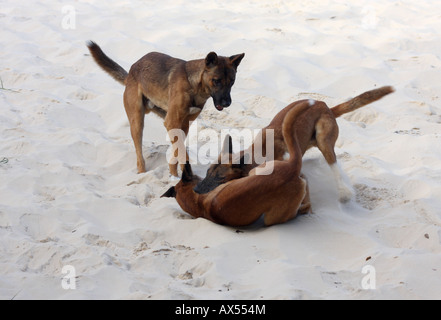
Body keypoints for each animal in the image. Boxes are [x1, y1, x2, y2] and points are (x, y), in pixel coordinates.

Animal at [86, 41, 244, 176]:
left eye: (232, 81)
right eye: (216, 81)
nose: (227, 103)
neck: (194, 86)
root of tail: (132, 70)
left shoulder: (182, 124)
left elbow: (178, 152)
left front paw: (175, 174)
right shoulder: (172, 122)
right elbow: (181, 152)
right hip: (137, 122)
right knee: (139, 155)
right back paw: (142, 172)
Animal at [160, 101, 312, 226]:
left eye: (220, 177)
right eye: (207, 172)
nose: (196, 190)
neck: (199, 205)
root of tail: (291, 168)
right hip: (271, 213)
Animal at [194, 84, 394, 200]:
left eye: (220, 178)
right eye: (207, 172)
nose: (196, 189)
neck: (258, 154)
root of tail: (326, 106)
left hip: (323, 140)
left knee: (334, 165)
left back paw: (343, 192)